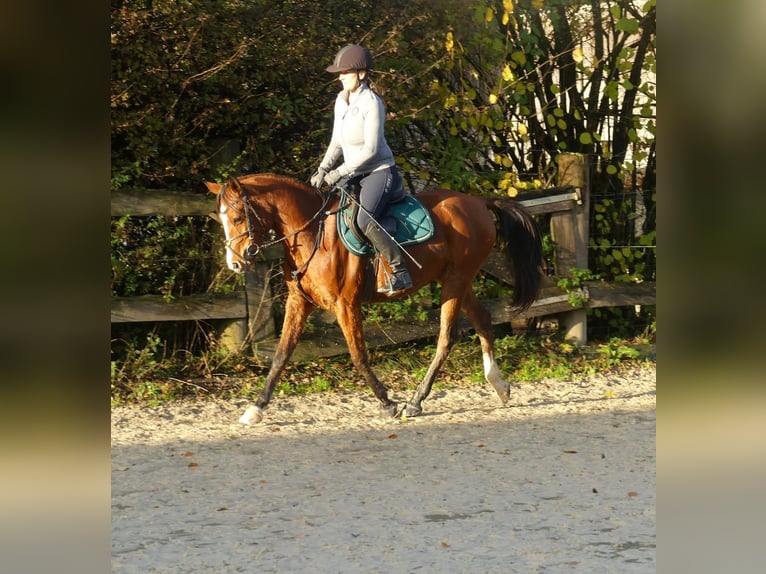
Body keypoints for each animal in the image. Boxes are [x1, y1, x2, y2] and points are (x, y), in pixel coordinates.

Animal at [206, 173, 544, 426]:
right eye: (222, 219)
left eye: (238, 217)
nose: (235, 264)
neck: (313, 233)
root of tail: (477, 201)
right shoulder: (299, 303)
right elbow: (281, 354)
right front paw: (256, 408)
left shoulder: (345, 305)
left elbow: (358, 355)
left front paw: (387, 402)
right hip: (457, 280)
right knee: (483, 321)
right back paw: (499, 386)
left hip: (456, 281)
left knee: (446, 337)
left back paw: (416, 401)